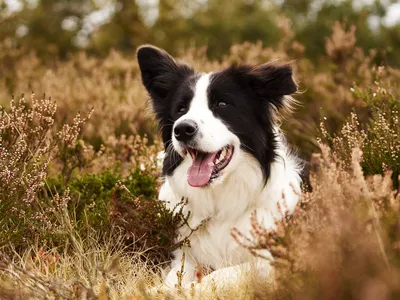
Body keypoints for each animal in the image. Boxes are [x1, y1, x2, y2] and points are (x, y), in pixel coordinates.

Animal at [136, 46, 302, 288]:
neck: (220, 201)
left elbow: (219, 275)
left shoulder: (273, 261)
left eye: (222, 104)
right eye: (181, 109)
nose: (182, 129)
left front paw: (190, 290)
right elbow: (172, 279)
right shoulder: (185, 256)